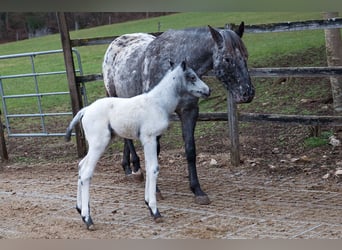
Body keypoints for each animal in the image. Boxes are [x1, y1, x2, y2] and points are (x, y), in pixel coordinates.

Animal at [63, 61, 208, 230]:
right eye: (192, 77)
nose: (207, 91)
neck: (158, 103)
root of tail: (84, 110)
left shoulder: (150, 140)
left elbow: (150, 167)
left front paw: (149, 205)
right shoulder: (150, 138)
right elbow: (153, 169)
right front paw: (155, 210)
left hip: (96, 145)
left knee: (80, 166)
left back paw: (80, 210)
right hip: (99, 144)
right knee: (86, 173)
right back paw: (88, 219)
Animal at [101, 22, 254, 205]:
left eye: (245, 56)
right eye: (227, 59)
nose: (247, 93)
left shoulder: (189, 111)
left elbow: (190, 150)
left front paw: (197, 190)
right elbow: (155, 150)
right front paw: (155, 190)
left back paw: (131, 168)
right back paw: (134, 170)